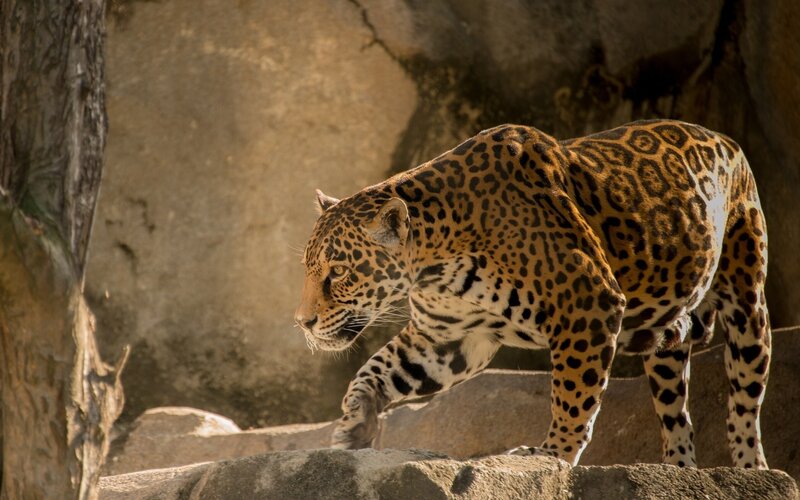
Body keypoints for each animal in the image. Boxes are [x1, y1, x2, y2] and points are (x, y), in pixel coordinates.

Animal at [295, 119, 771, 469]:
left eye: (338, 272)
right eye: (308, 270)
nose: (303, 323)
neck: (436, 261)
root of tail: (727, 140)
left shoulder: (587, 302)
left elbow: (573, 394)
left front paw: (552, 454)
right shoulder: (446, 339)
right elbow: (377, 369)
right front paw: (356, 422)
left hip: (747, 302)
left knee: (744, 405)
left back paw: (752, 471)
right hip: (666, 346)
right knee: (678, 414)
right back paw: (678, 470)